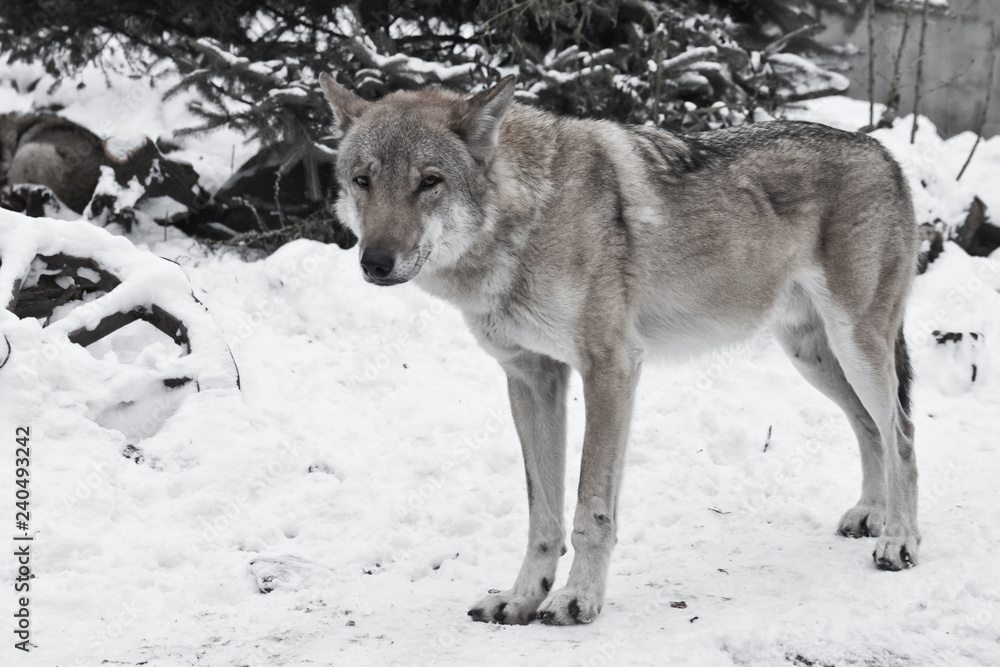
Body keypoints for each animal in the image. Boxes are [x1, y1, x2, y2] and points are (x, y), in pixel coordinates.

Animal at [319, 72, 920, 625]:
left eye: (429, 182)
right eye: (363, 180)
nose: (375, 262)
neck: (529, 218)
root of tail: (885, 153)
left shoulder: (610, 366)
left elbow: (590, 508)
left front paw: (577, 599)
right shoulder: (531, 376)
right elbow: (542, 515)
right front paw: (522, 597)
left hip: (856, 346)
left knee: (902, 433)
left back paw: (899, 541)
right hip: (813, 356)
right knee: (870, 426)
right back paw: (871, 515)